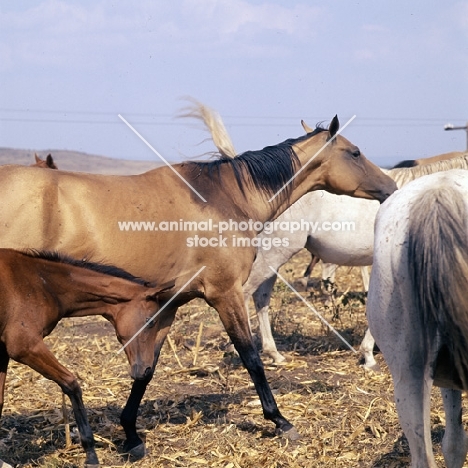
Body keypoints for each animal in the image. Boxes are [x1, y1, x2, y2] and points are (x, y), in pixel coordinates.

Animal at [0, 250, 171, 466]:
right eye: (151, 321)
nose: (146, 369)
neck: (40, 282)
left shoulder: (2, 350)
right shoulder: (24, 346)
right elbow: (71, 384)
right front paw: (91, 454)